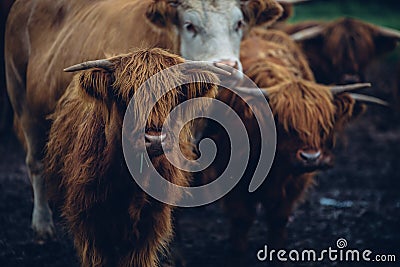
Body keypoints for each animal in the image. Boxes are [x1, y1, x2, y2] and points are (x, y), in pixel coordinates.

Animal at [4, 0, 282, 240]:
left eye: (239, 23)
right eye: (189, 25)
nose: (227, 68)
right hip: (22, 101)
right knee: (35, 161)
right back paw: (42, 223)